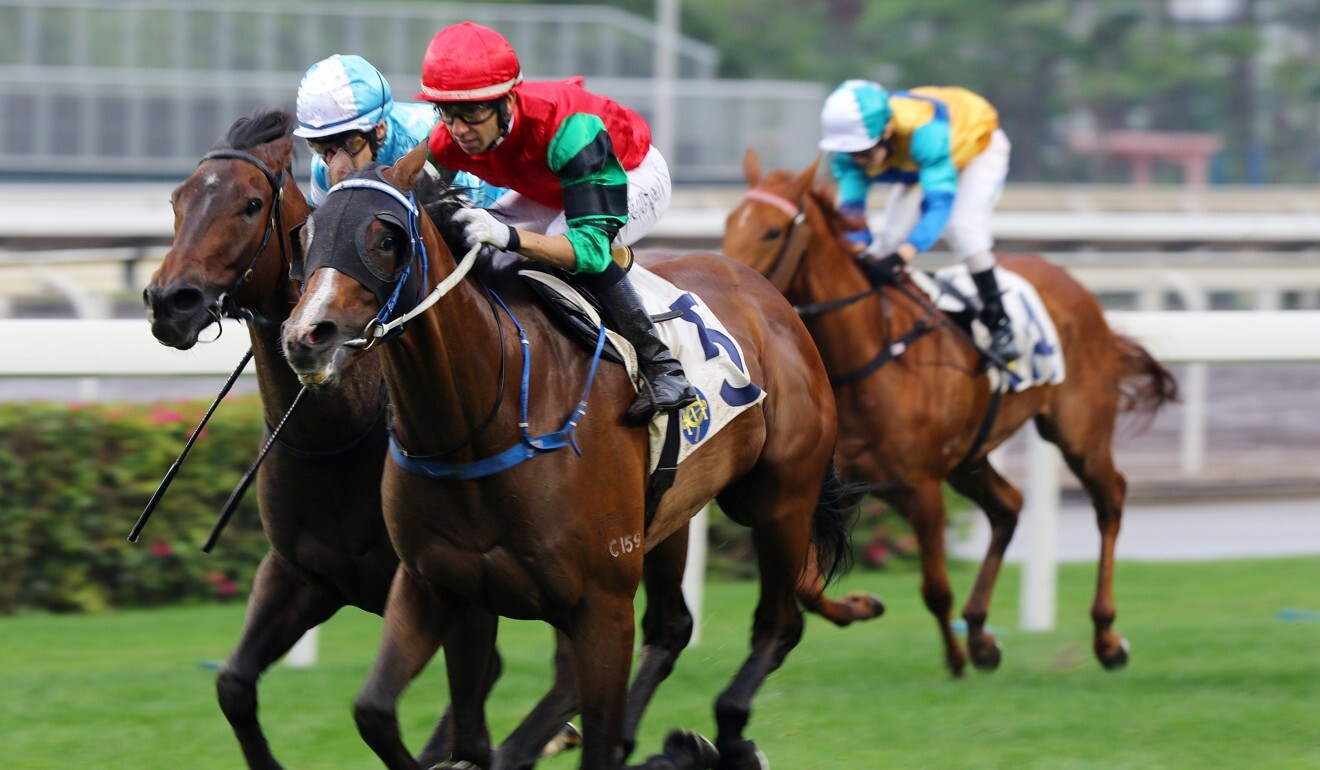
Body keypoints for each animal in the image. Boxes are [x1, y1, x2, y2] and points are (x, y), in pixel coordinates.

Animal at [143, 110, 578, 770]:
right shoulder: (300, 574)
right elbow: (234, 685)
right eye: (178, 200)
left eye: (250, 205)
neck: (340, 436)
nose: (171, 301)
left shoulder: (450, 584)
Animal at [279, 144, 855, 770]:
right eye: (306, 234)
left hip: (777, 501)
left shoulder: (602, 605)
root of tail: (769, 293)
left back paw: (727, 738)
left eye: (385, 238)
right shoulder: (436, 584)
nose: (307, 337)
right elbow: (380, 714)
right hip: (667, 515)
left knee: (778, 624)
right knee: (672, 626)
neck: (484, 416)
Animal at [728, 150, 1182, 681]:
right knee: (1008, 506)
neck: (869, 353)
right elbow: (804, 583)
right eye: (729, 222)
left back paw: (1106, 637)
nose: (733, 279)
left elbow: (935, 589)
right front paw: (865, 606)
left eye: (772, 231)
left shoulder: (921, 487)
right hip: (970, 458)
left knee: (1110, 500)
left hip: (1079, 433)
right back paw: (983, 634)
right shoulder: (825, 485)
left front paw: (955, 658)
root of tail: (1077, 287)